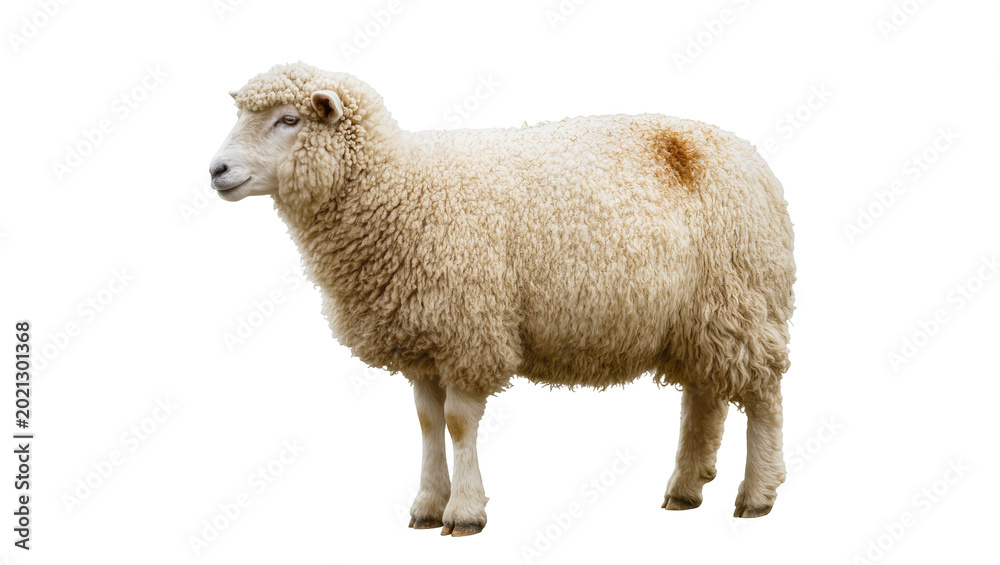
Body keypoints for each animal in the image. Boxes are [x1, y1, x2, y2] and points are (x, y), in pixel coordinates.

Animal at [209, 62, 796, 536]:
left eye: (289, 119)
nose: (216, 170)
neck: (399, 188)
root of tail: (743, 151)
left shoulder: (470, 326)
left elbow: (458, 423)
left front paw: (465, 513)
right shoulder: (426, 338)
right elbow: (427, 423)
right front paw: (427, 506)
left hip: (743, 298)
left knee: (763, 396)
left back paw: (757, 495)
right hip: (702, 315)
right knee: (704, 395)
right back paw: (685, 488)